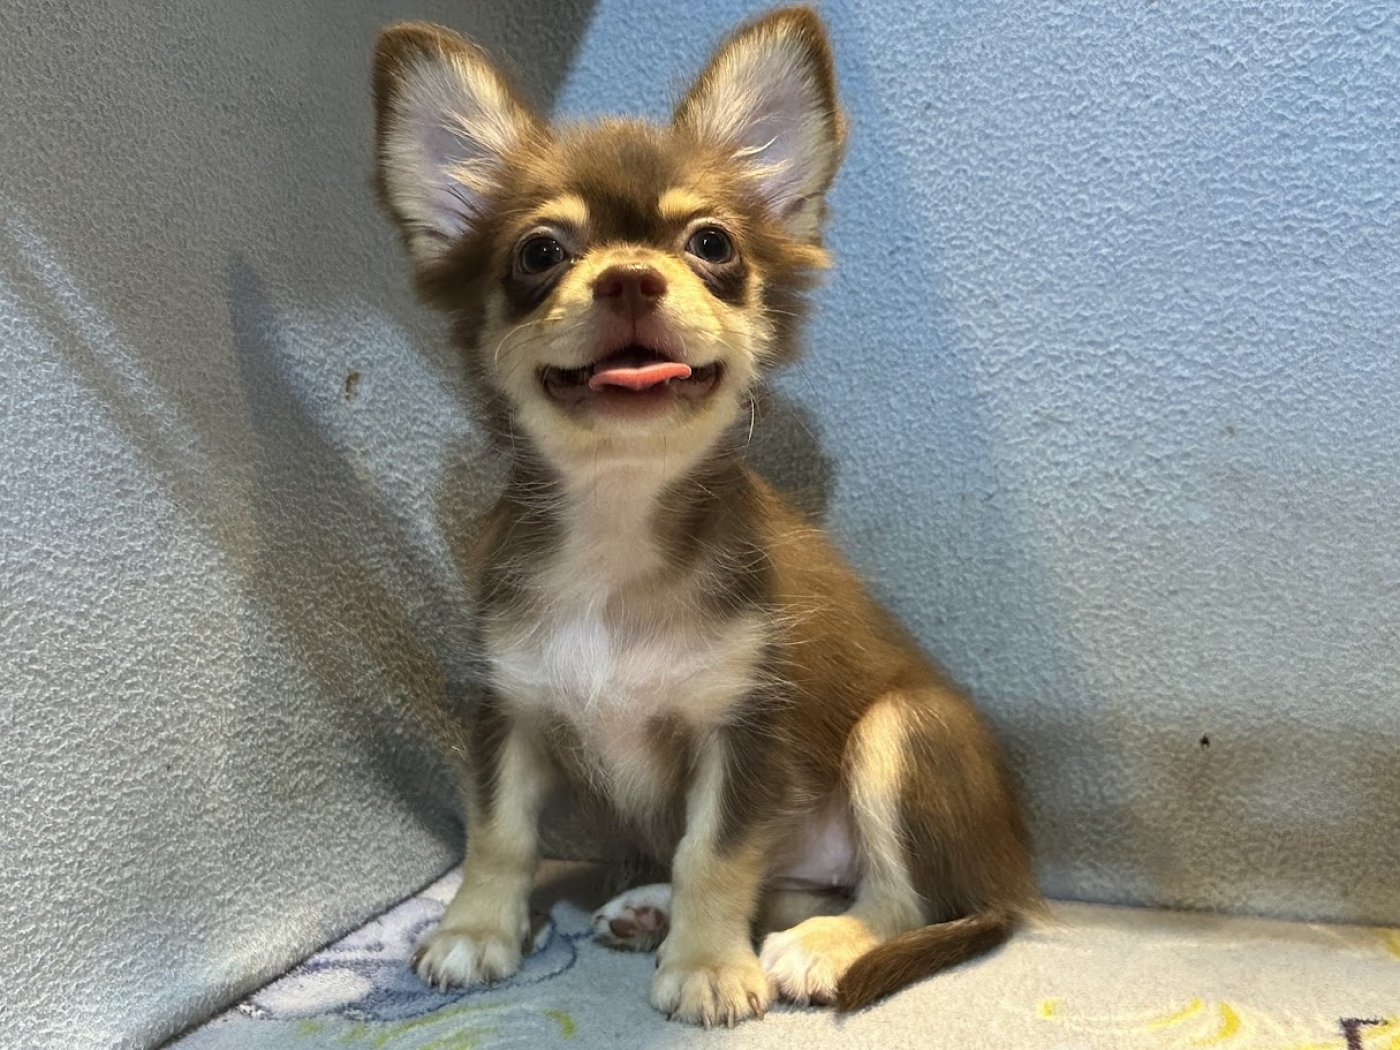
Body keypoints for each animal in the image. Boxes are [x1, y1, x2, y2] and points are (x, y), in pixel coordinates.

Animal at [371, 6, 1039, 1027]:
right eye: (539, 253)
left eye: (713, 245)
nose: (630, 278)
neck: (617, 519)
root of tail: (1009, 877)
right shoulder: (510, 710)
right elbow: (500, 834)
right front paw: (476, 930)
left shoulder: (743, 731)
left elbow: (714, 855)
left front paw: (709, 966)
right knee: (795, 882)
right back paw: (653, 906)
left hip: (904, 729)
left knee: (898, 897)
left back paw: (818, 945)